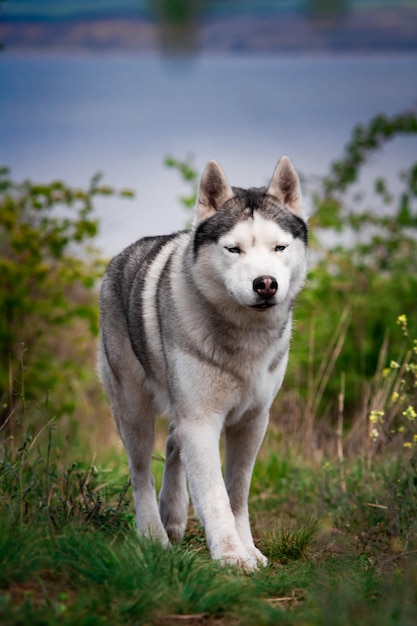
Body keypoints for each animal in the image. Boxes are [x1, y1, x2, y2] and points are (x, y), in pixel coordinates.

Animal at [97, 155, 306, 564]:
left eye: (279, 247)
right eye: (233, 249)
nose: (266, 284)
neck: (244, 336)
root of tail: (122, 256)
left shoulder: (253, 421)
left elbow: (237, 493)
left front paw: (249, 549)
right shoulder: (201, 420)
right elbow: (215, 495)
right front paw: (231, 557)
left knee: (172, 442)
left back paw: (174, 517)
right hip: (132, 408)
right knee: (140, 472)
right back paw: (153, 533)